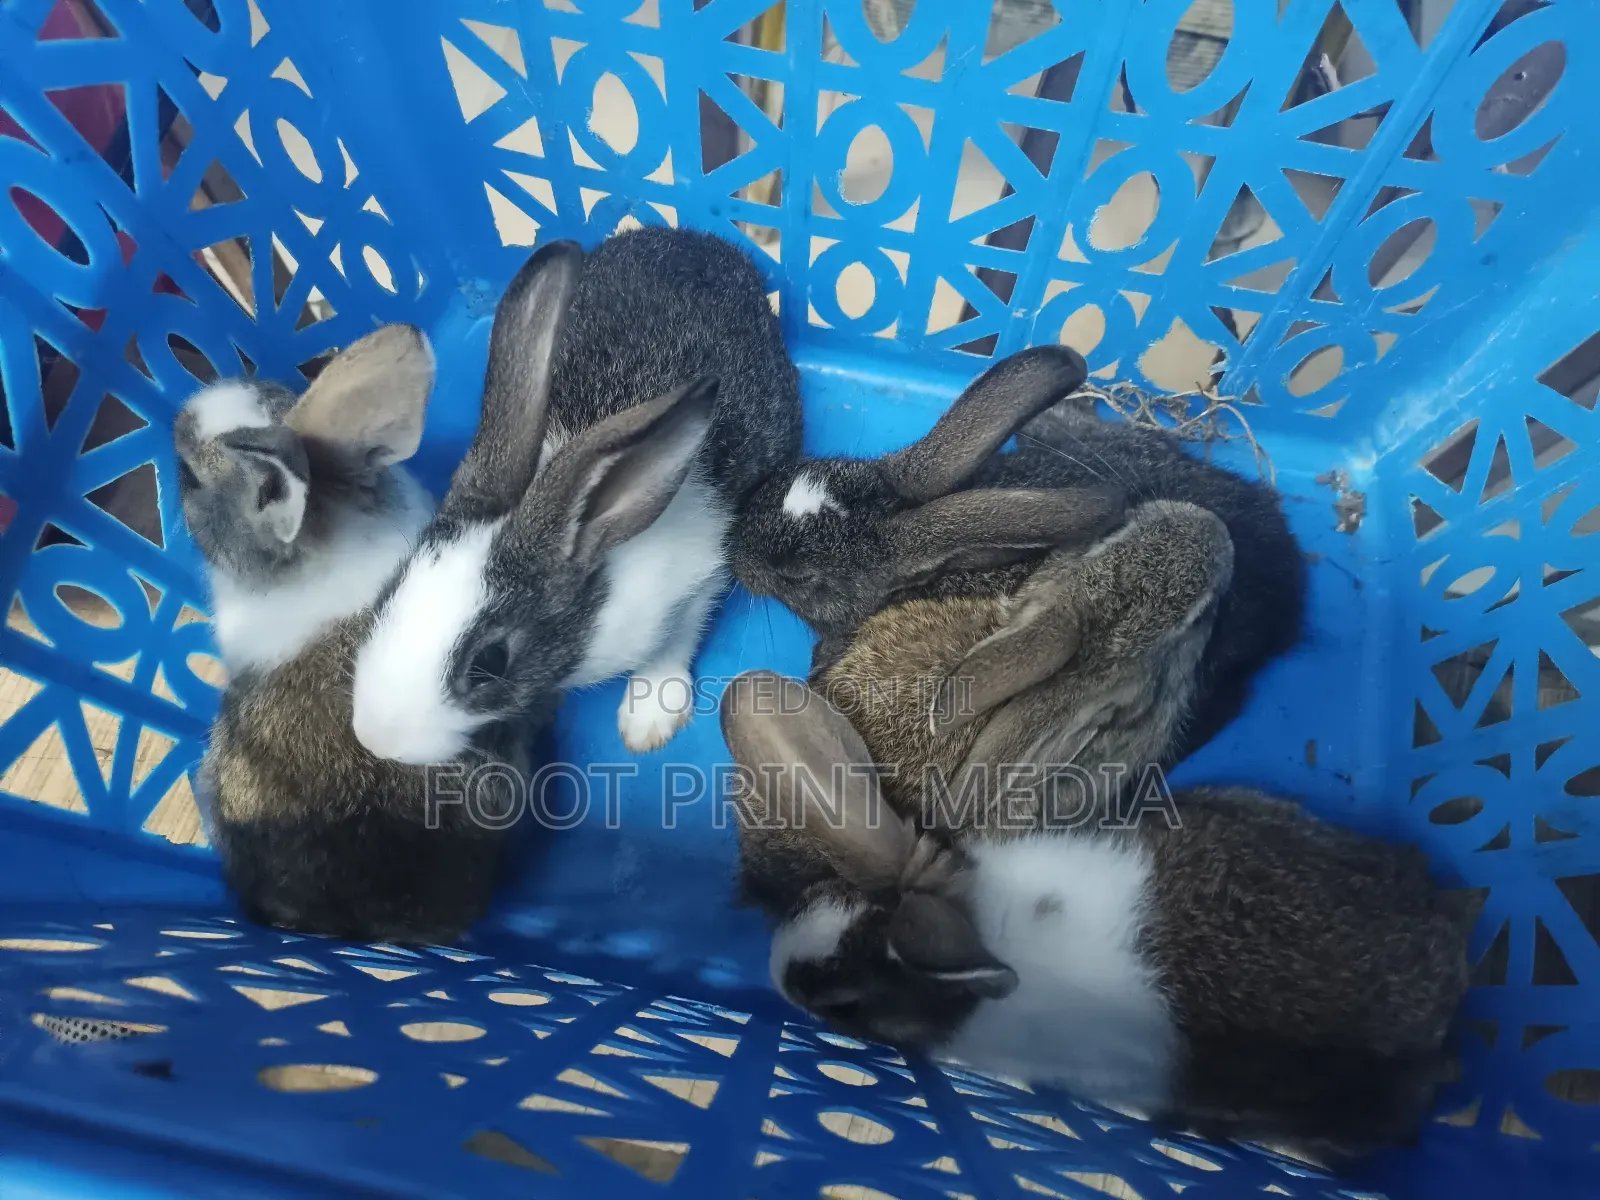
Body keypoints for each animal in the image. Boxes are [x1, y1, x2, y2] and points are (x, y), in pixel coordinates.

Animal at [350, 227, 803, 762]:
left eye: (489, 661)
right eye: (389, 591)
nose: (374, 738)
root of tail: (700, 239)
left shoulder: (698, 578)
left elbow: (672, 643)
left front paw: (649, 718)